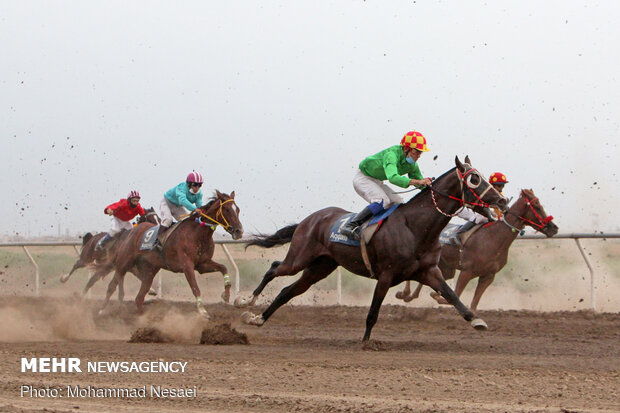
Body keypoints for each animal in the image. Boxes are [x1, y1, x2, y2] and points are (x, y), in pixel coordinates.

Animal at [99, 190, 242, 316]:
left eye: (238, 209)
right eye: (227, 210)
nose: (239, 231)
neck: (198, 234)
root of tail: (131, 231)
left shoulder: (202, 264)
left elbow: (224, 268)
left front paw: (226, 295)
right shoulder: (187, 266)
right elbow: (195, 287)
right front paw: (202, 311)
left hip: (150, 269)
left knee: (139, 297)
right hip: (124, 262)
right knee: (112, 285)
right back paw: (102, 310)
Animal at [236, 156, 508, 340]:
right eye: (474, 179)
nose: (502, 200)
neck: (415, 227)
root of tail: (310, 219)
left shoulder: (429, 271)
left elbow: (452, 296)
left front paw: (476, 320)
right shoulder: (386, 274)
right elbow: (373, 312)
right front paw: (366, 342)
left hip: (321, 266)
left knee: (288, 291)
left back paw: (258, 319)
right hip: (300, 257)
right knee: (274, 268)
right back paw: (246, 301)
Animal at [394, 187, 560, 308]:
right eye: (537, 206)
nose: (554, 228)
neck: (494, 239)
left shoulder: (488, 276)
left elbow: (474, 303)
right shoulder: (467, 271)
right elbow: (456, 295)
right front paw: (439, 297)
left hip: (446, 266)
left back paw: (411, 295)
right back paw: (406, 293)